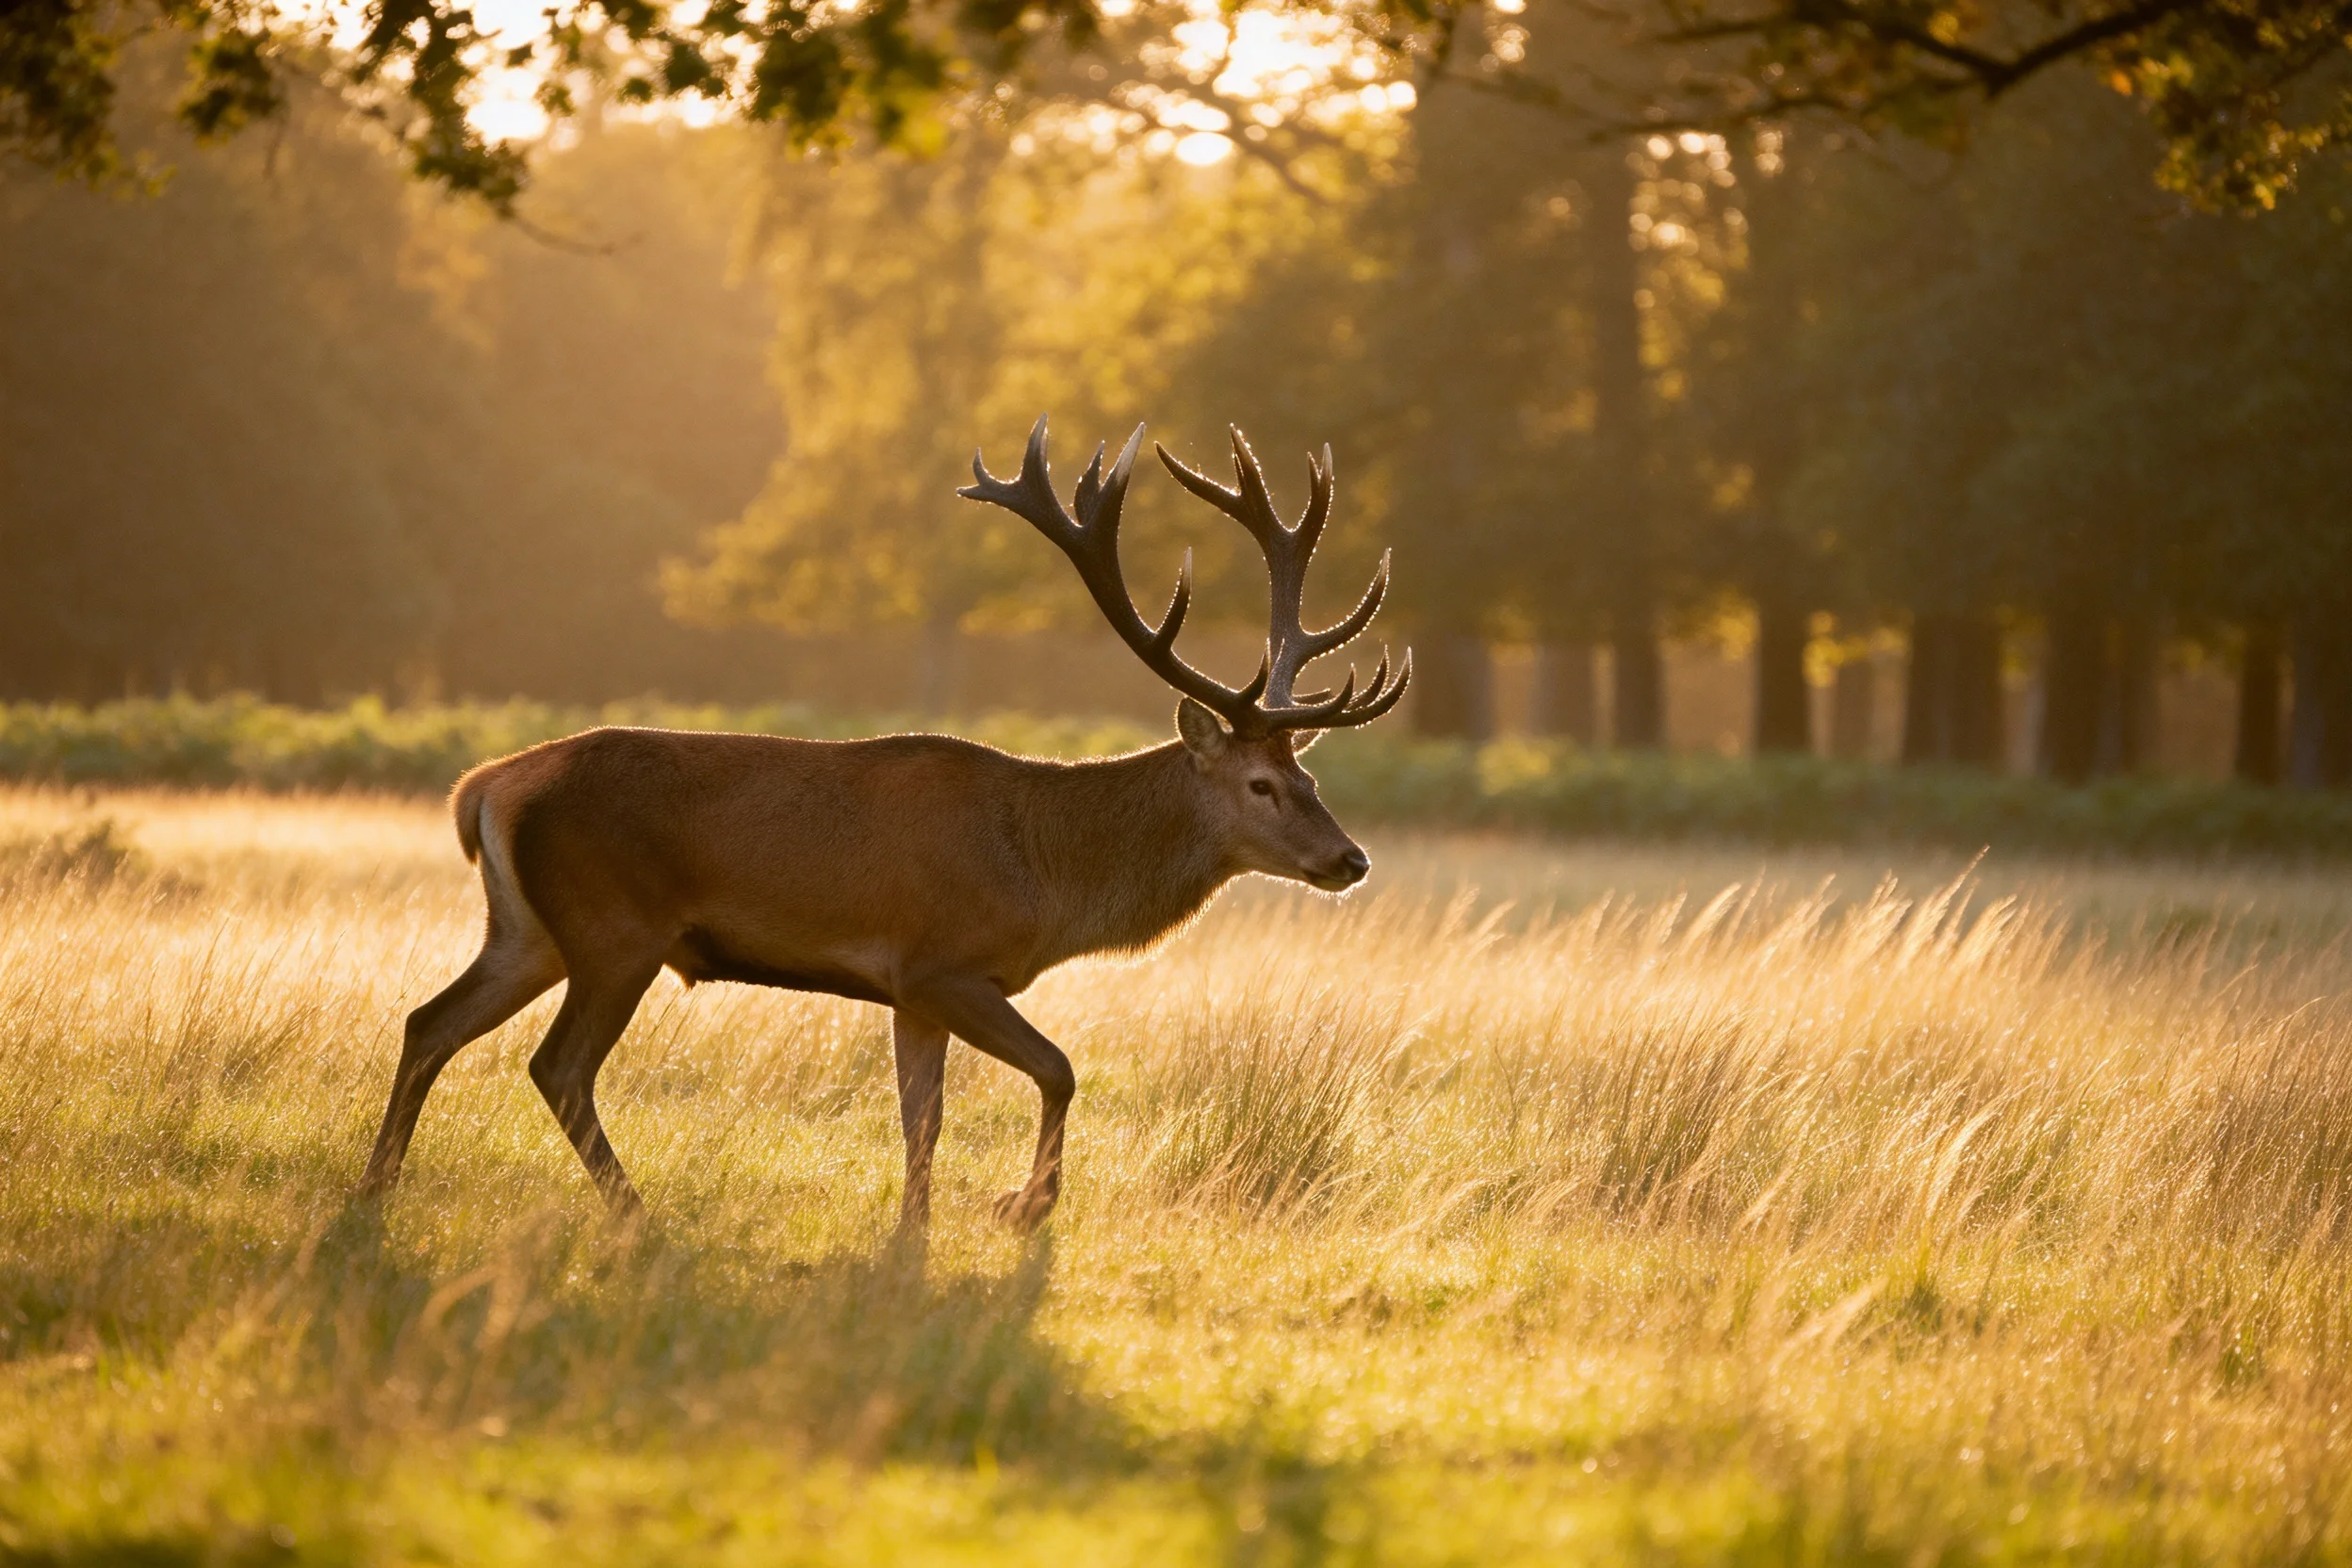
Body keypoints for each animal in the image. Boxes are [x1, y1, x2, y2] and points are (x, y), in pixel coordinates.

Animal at [355, 416, 1410, 1232]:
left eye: (1310, 771)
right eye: (1262, 784)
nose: (1350, 858)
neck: (1046, 878)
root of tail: (484, 787)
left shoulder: (910, 991)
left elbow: (921, 1117)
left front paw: (917, 1230)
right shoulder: (943, 962)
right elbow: (1059, 1069)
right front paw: (1023, 1207)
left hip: (527, 929)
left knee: (428, 1021)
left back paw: (374, 1192)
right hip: (615, 927)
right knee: (557, 1065)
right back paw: (635, 1216)